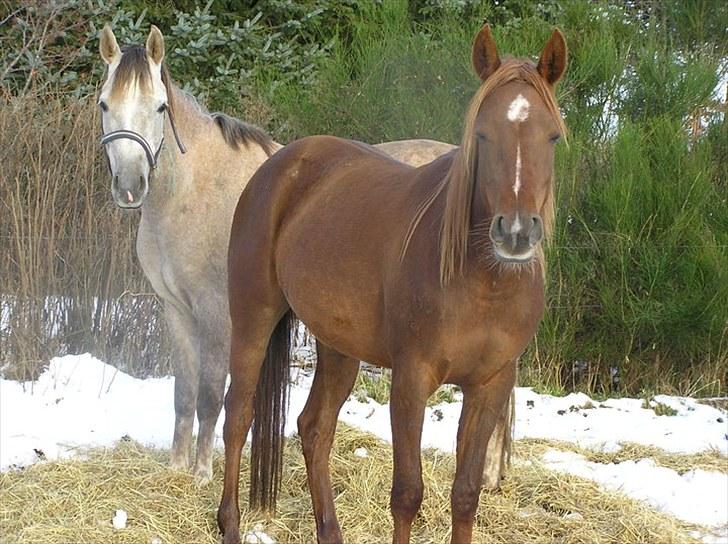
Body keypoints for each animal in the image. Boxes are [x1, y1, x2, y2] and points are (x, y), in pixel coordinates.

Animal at [218, 25, 568, 544]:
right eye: (482, 134)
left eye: (552, 136)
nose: (517, 233)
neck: (483, 283)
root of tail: (280, 163)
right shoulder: (411, 378)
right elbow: (407, 493)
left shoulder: (490, 384)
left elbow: (466, 493)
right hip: (253, 317)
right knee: (238, 417)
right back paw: (230, 525)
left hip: (339, 346)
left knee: (314, 428)